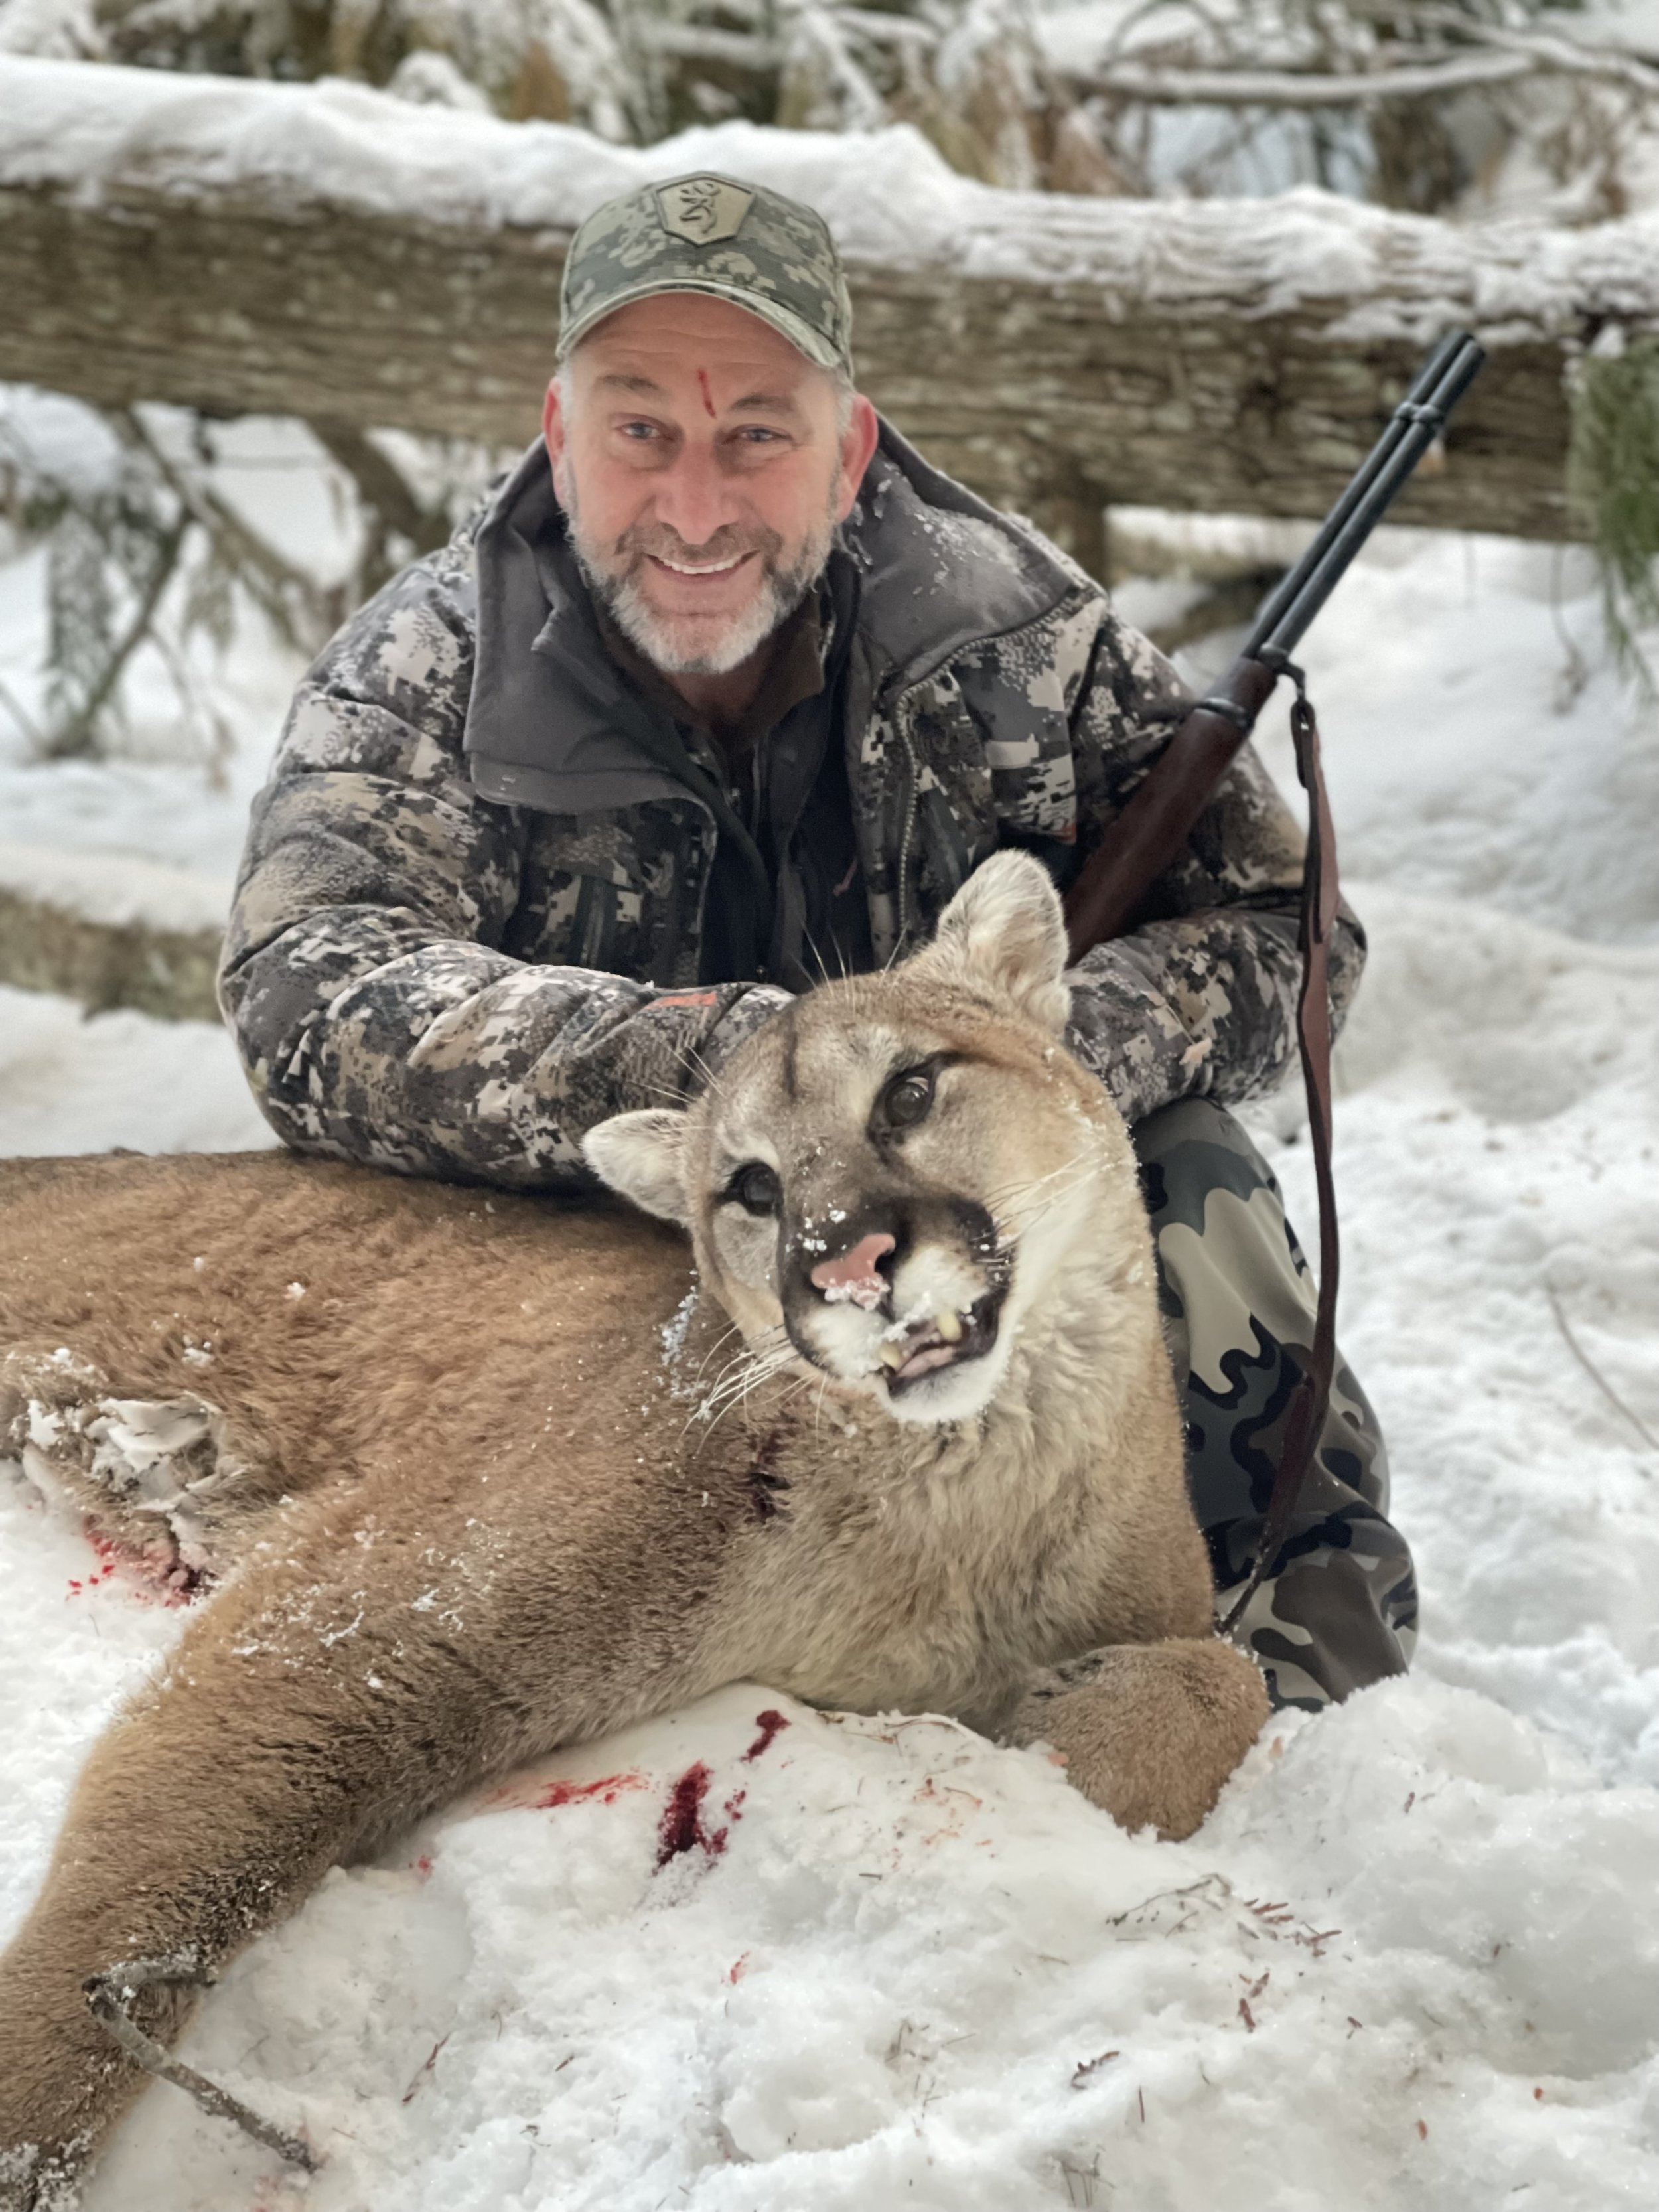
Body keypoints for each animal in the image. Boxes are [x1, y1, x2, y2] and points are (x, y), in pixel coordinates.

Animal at [0, 852, 1268, 2205]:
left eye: (912, 1088)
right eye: (750, 1187)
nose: (851, 1264)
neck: (957, 1501)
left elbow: (1229, 1672)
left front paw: (1064, 1737)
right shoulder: (351, 1626)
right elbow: (141, 1899)